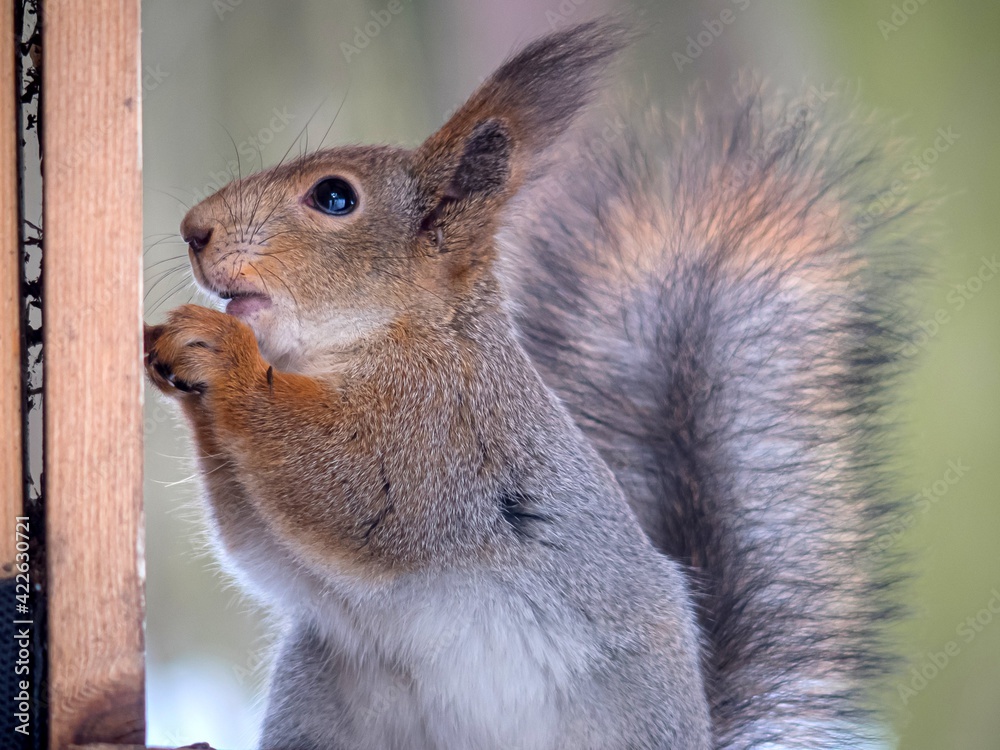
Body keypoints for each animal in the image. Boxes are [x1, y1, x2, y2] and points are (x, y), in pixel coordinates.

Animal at [145, 20, 916, 750]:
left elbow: (356, 489)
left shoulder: (445, 430)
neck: (379, 338)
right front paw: (171, 357)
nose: (193, 229)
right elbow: (262, 546)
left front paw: (222, 353)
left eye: (334, 197)